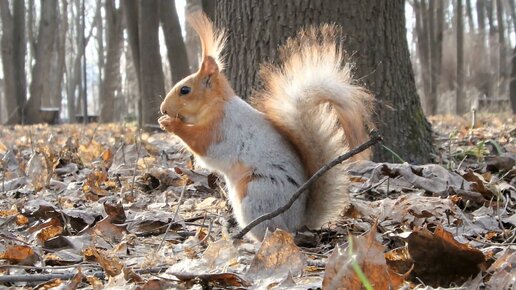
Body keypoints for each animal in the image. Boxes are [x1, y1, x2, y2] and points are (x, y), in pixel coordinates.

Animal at [159, 12, 372, 241]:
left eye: (185, 90)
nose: (163, 109)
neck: (216, 104)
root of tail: (299, 222)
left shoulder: (221, 129)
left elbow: (201, 144)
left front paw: (171, 124)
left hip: (256, 195)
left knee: (272, 231)